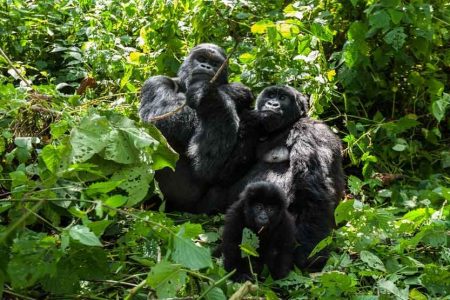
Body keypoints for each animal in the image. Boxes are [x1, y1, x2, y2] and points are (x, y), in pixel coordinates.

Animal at [139, 44, 255, 213]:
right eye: (201, 58)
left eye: (214, 63)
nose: (205, 66)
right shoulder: (155, 82)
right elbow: (156, 116)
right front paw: (225, 92)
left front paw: (211, 97)